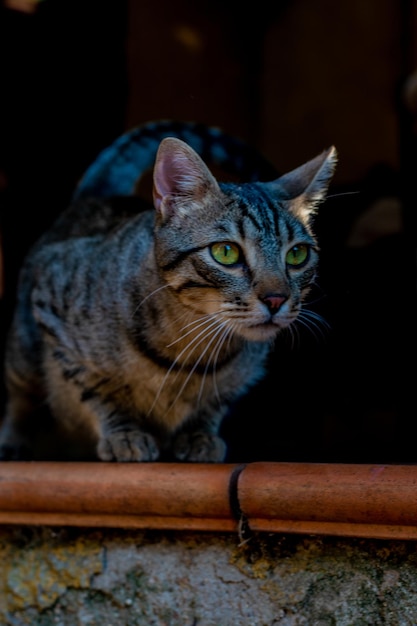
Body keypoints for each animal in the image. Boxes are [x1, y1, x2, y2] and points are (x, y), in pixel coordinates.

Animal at [0, 120, 334, 458]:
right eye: (226, 252)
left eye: (297, 255)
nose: (277, 299)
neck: (192, 351)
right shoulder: (51, 305)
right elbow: (95, 390)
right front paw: (125, 433)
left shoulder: (246, 372)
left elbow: (216, 401)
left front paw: (199, 434)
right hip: (23, 351)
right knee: (20, 397)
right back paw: (13, 441)